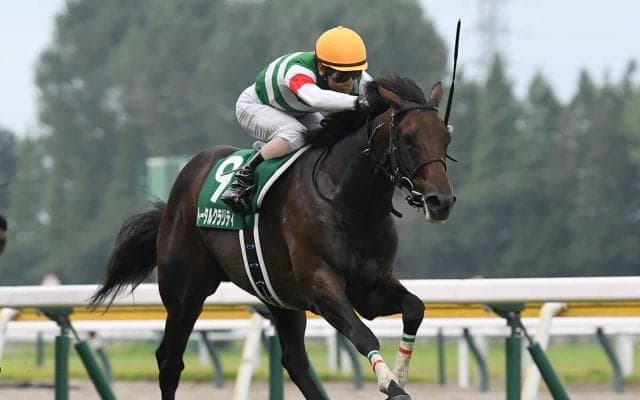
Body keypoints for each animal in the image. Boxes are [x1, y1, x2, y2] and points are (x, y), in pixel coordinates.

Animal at [90, 73, 456, 400]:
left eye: (446, 137)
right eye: (408, 137)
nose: (441, 201)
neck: (348, 201)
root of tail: (182, 184)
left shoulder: (370, 287)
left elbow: (415, 308)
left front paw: (401, 375)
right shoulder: (321, 285)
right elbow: (364, 335)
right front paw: (392, 387)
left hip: (279, 297)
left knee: (294, 361)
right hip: (185, 292)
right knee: (169, 360)